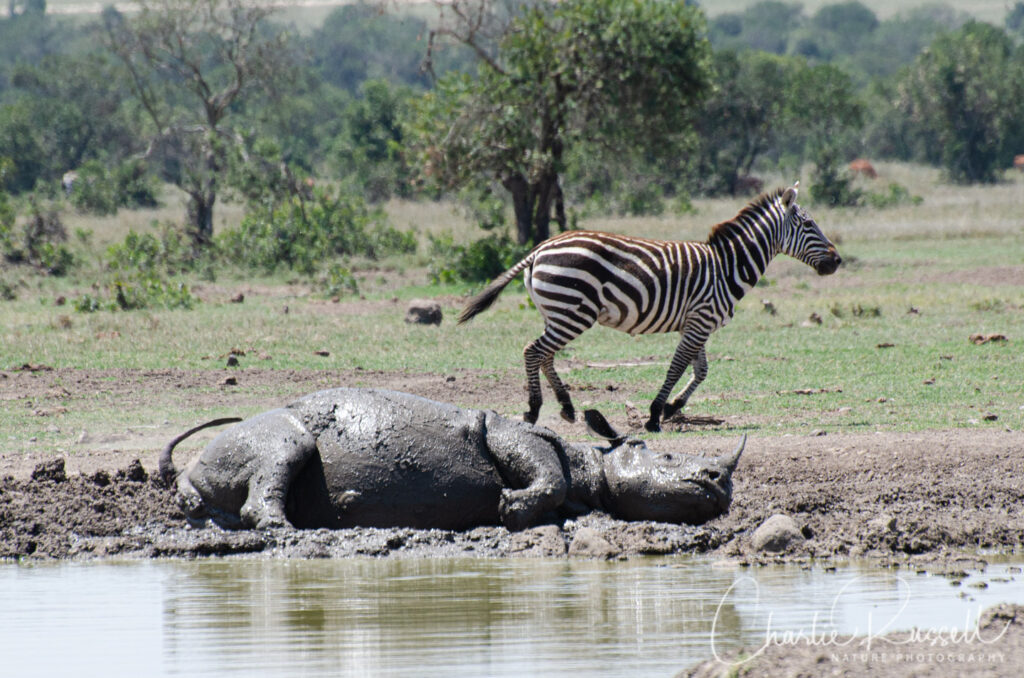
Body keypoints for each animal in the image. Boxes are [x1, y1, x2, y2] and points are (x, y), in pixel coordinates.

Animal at [458, 183, 839, 432]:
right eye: (808, 225)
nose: (836, 261)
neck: (728, 265)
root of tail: (540, 249)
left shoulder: (699, 322)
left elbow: (701, 370)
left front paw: (673, 408)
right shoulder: (700, 321)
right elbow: (677, 367)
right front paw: (656, 414)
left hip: (560, 312)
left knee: (545, 355)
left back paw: (566, 408)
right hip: (573, 312)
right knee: (532, 350)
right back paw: (534, 411)